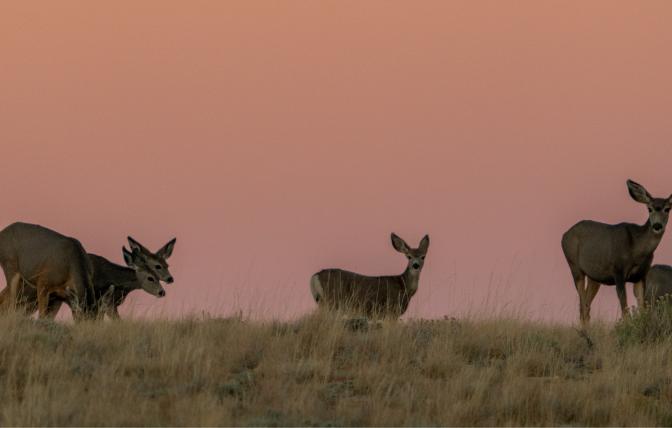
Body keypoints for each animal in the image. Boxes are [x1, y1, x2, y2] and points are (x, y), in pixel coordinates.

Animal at [561, 179, 671, 325]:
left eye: (667, 209)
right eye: (649, 208)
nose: (657, 226)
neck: (637, 249)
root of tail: (564, 235)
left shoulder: (641, 276)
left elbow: (642, 309)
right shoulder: (618, 271)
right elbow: (625, 309)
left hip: (594, 277)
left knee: (586, 304)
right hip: (575, 267)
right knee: (583, 304)